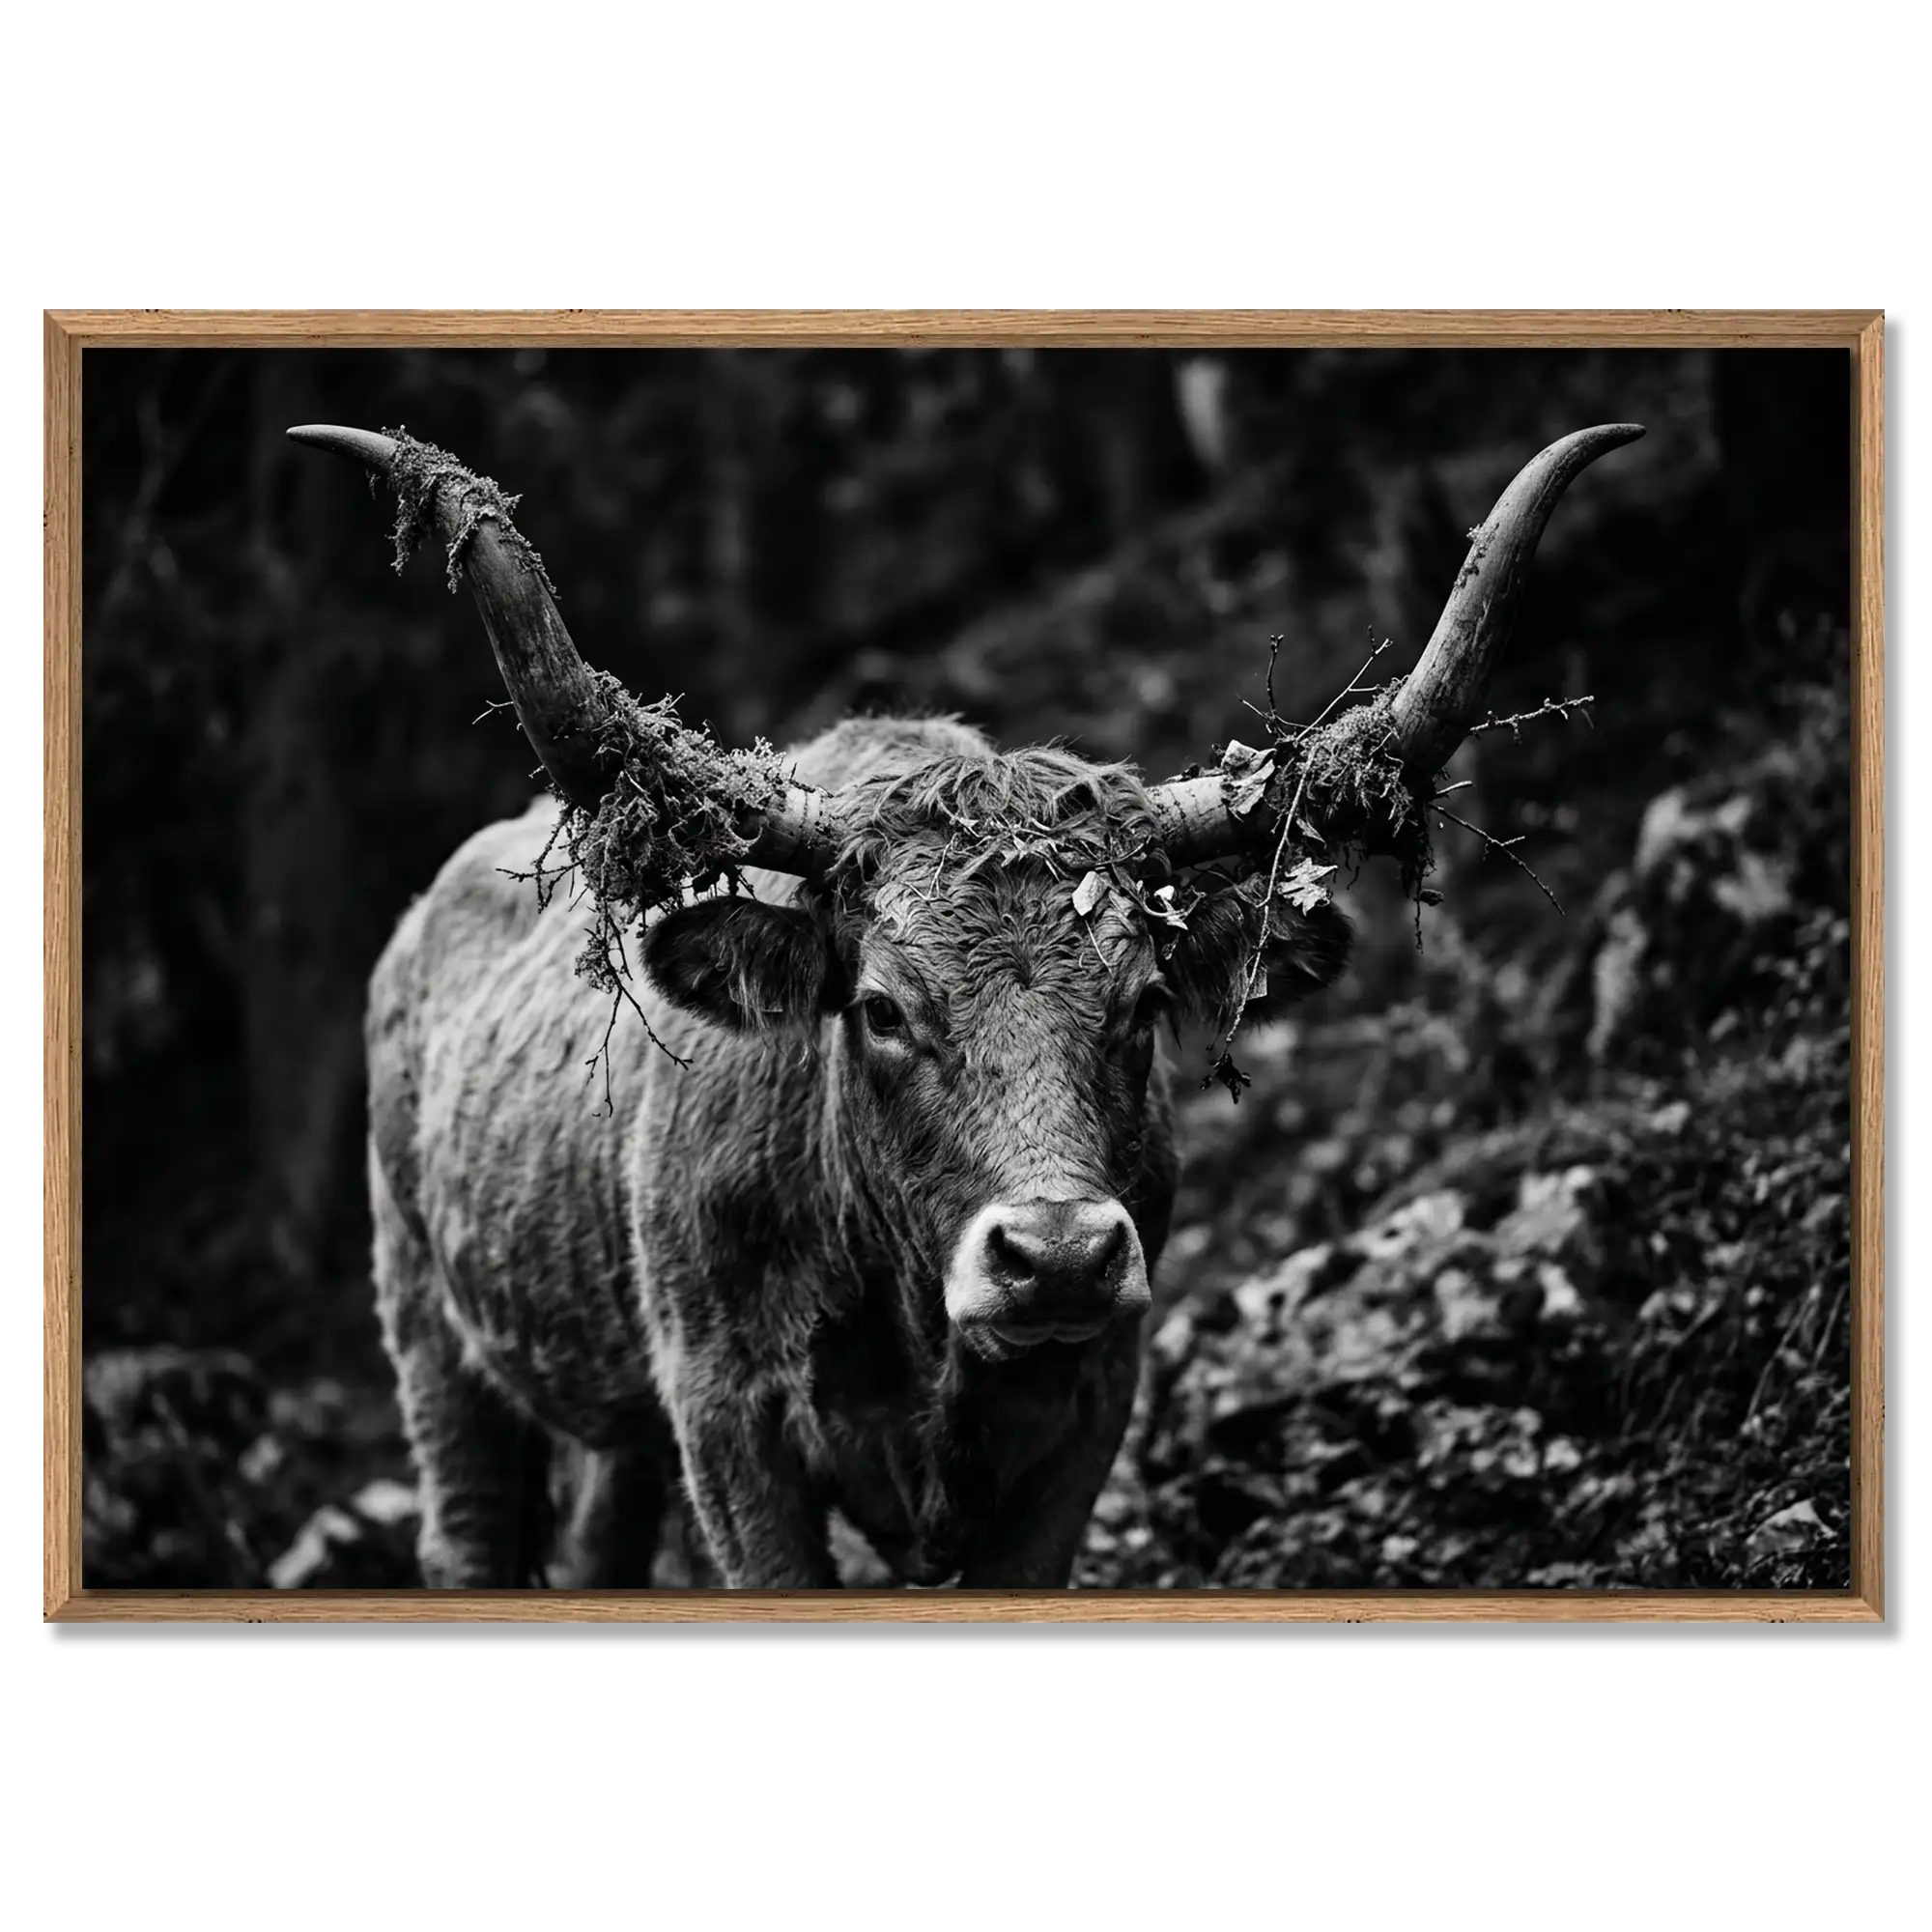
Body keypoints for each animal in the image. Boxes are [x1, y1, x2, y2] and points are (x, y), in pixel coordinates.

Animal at [291, 416, 1641, 1589]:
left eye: (1145, 1002)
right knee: (466, 1529)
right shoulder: (731, 1427)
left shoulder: (1085, 1412)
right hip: (436, 1345)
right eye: (881, 1008)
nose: (1057, 1257)